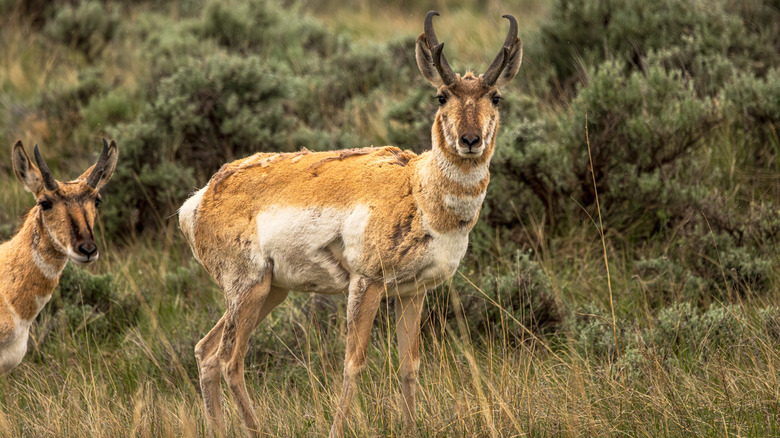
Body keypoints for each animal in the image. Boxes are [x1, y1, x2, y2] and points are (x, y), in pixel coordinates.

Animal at [179, 10, 522, 437]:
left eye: (496, 97)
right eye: (442, 95)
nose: (470, 140)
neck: (417, 188)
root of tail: (204, 195)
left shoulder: (414, 292)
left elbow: (409, 366)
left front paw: (411, 427)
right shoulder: (367, 283)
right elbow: (353, 364)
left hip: (271, 291)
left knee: (206, 352)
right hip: (249, 289)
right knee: (229, 359)